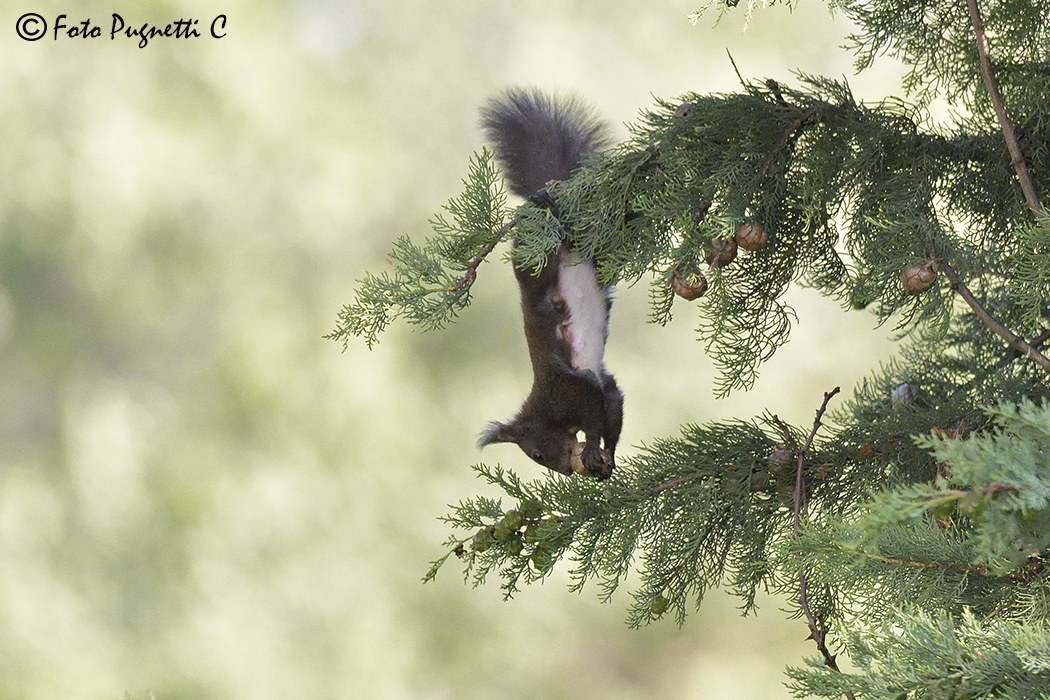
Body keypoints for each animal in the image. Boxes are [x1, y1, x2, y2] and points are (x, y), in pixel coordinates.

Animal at [477, 87, 623, 480]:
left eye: (536, 453)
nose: (565, 471)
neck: (544, 407)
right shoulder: (605, 386)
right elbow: (613, 411)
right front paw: (607, 459)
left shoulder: (570, 389)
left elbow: (594, 419)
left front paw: (592, 449)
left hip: (533, 259)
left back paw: (544, 203)